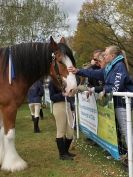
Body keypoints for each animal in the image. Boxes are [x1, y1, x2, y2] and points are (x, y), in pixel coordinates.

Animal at [0, 37, 77, 171]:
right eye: (60, 61)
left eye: (72, 60)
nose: (73, 89)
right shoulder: (9, 107)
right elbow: (9, 134)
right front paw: (14, 164)